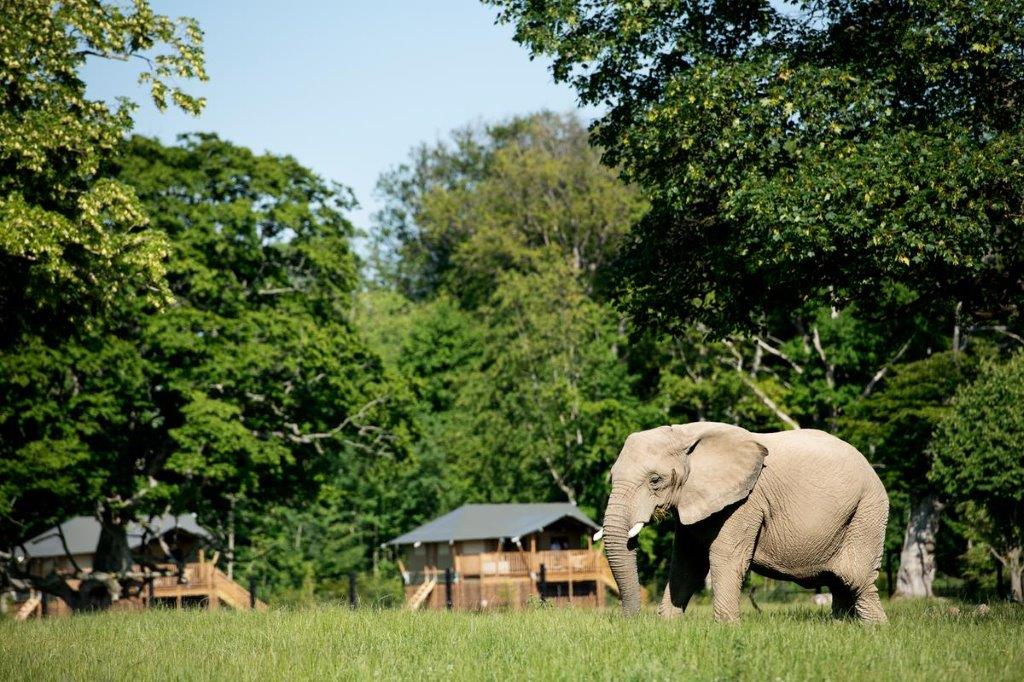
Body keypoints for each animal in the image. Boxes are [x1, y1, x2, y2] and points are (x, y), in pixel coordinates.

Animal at [596, 422, 889, 623]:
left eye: (655, 480)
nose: (630, 621)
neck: (685, 434)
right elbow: (687, 563)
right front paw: (669, 625)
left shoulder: (747, 500)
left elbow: (725, 557)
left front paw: (726, 628)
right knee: (841, 582)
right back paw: (842, 626)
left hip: (867, 510)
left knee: (855, 577)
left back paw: (875, 629)